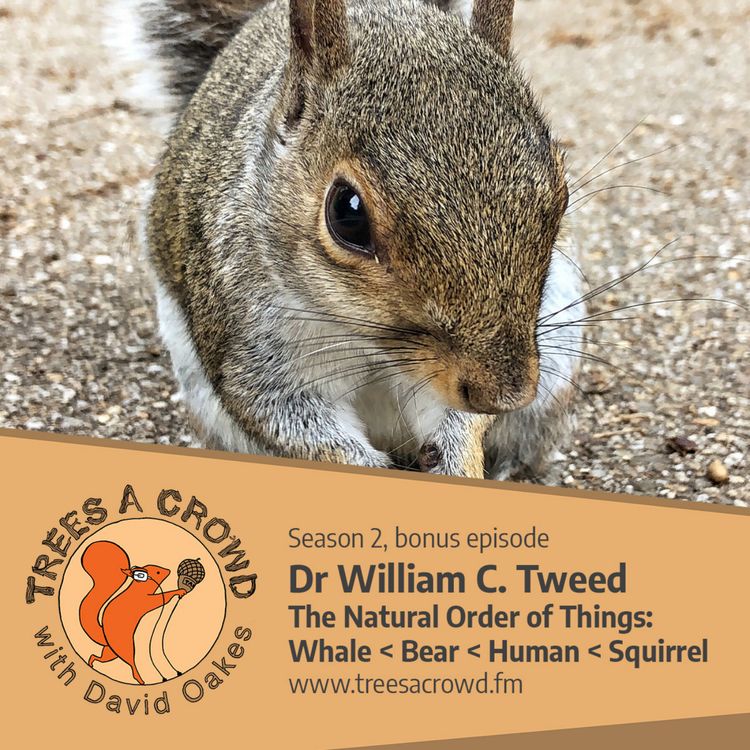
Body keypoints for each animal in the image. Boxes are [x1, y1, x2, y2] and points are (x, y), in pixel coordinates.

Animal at [79, 540, 187, 685]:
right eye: (158, 572)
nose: (168, 570)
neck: (139, 588)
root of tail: (104, 636)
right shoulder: (146, 601)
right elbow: (162, 598)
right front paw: (178, 591)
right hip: (125, 648)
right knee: (131, 664)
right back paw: (140, 680)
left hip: (110, 652)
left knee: (97, 657)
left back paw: (91, 662)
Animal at [111, 0, 585, 479]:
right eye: (347, 214)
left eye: (562, 193)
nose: (504, 395)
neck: (363, 337)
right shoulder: (252, 348)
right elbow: (290, 419)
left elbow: (459, 422)